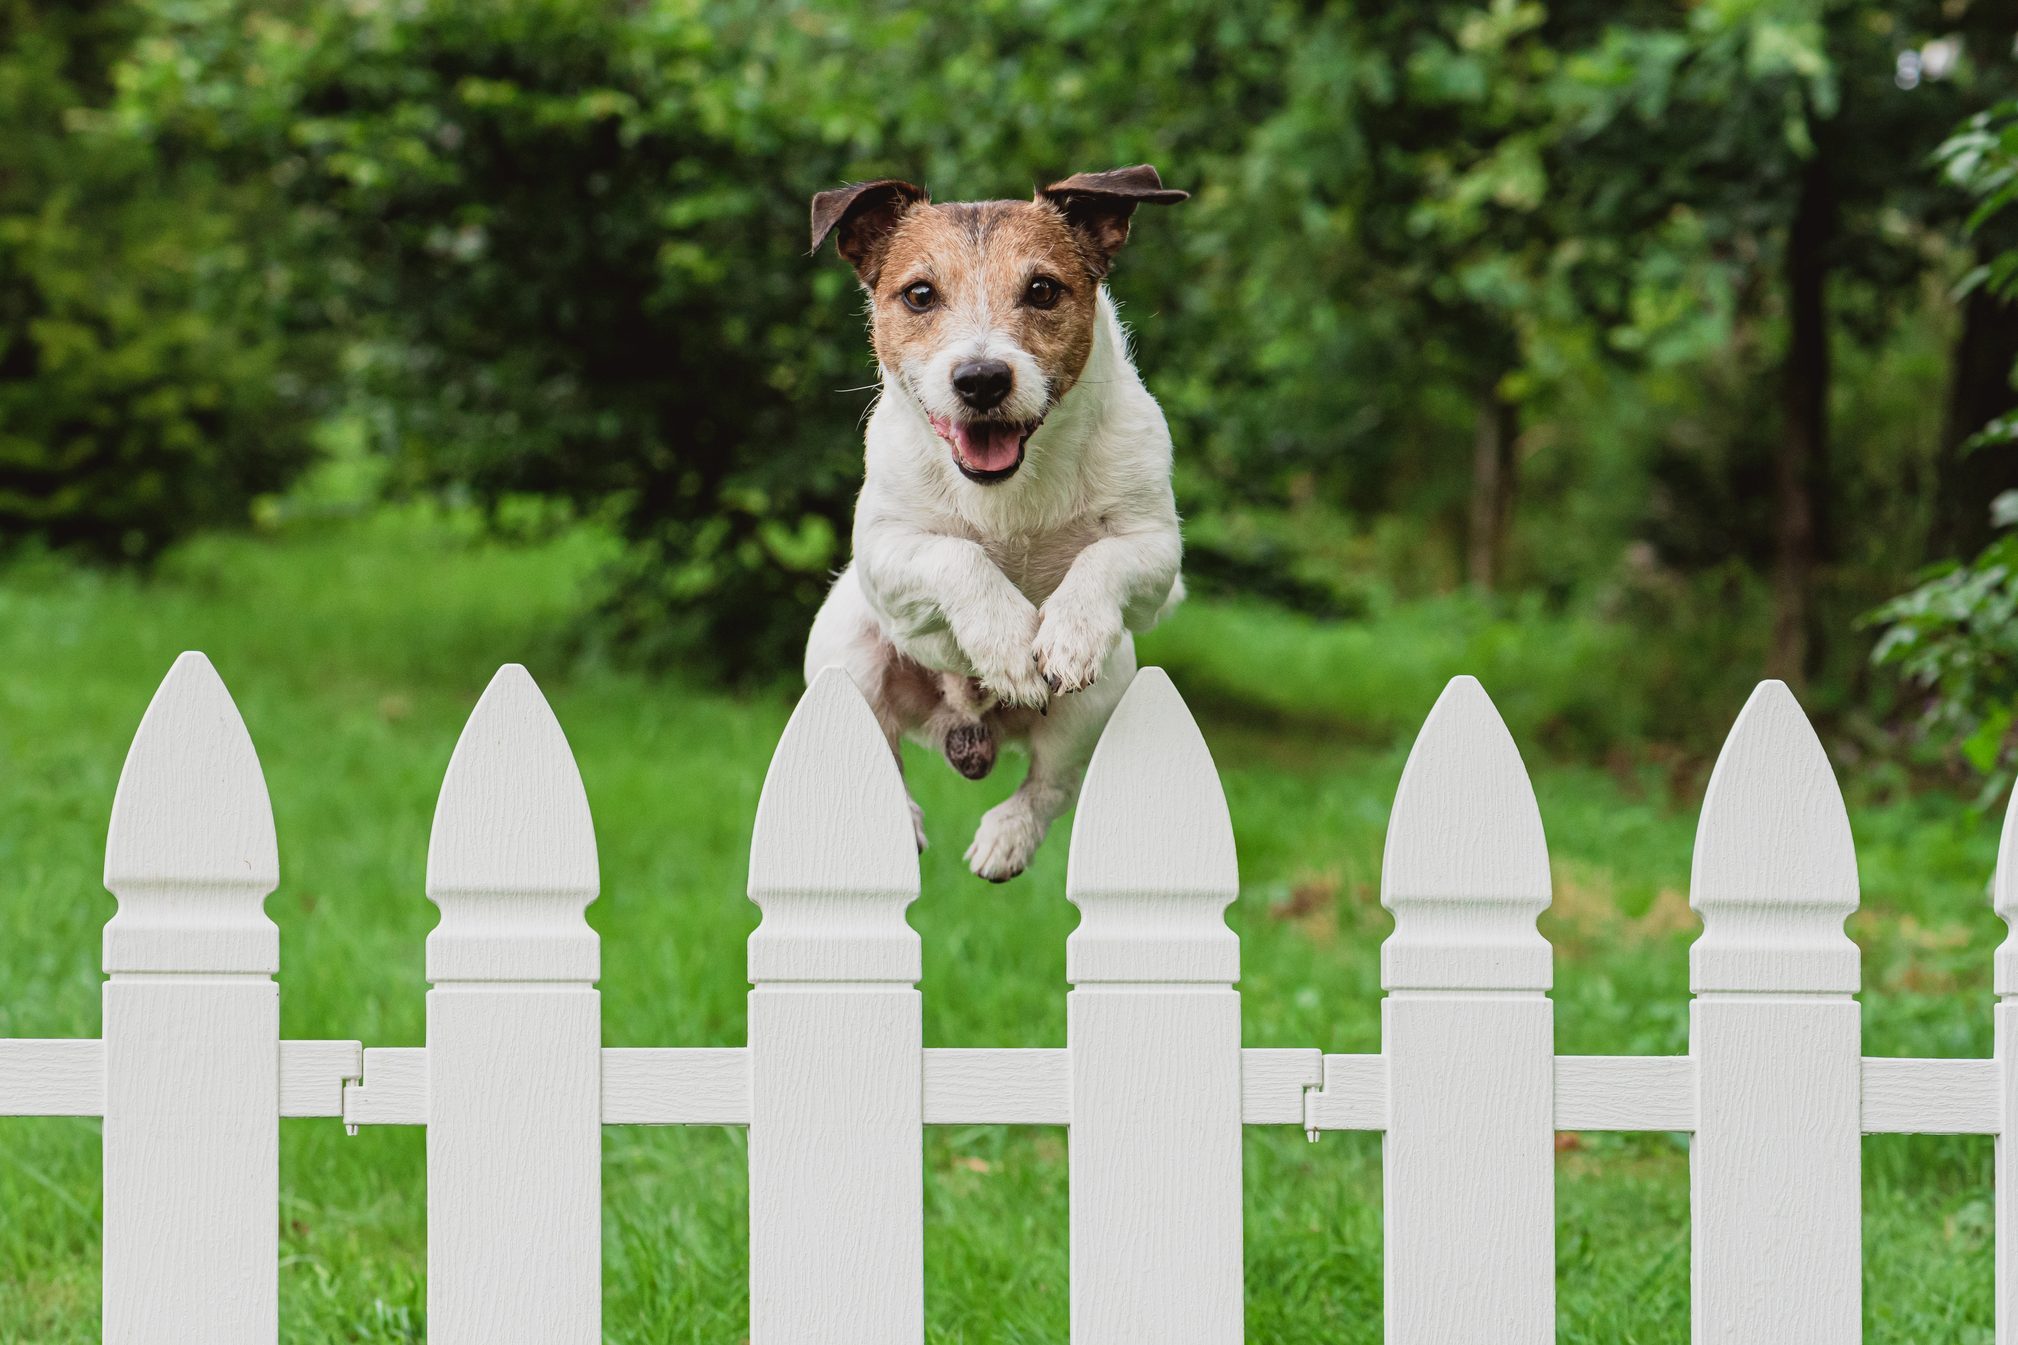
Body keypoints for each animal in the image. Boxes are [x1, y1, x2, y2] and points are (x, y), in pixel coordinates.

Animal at [799, 165, 1178, 883]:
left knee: (1051, 783)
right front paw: (1005, 642)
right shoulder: (885, 551)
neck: (1010, 490)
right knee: (879, 758)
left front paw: (1068, 633)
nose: (981, 379)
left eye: (1042, 289)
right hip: (848, 659)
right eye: (920, 294)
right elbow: (958, 557)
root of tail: (969, 731)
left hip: (1098, 700)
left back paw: (1008, 835)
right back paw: (902, 822)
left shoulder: (1157, 551)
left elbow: (1103, 558)